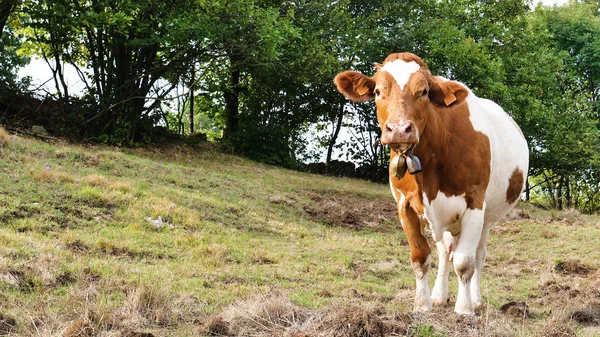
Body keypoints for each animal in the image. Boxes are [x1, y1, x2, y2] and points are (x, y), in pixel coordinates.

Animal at [336, 52, 528, 316]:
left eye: (424, 91)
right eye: (377, 91)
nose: (399, 130)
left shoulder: (475, 204)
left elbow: (465, 262)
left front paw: (464, 310)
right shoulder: (404, 205)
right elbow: (420, 257)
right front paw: (422, 304)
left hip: (488, 218)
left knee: (478, 255)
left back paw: (476, 300)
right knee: (445, 252)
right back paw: (439, 296)